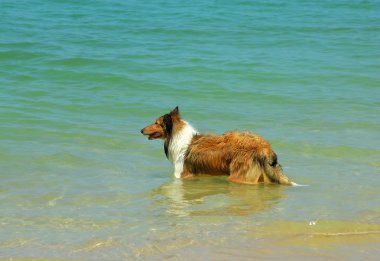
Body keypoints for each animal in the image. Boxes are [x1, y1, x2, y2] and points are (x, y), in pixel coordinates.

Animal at [141, 105, 296, 185]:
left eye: (156, 122)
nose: (141, 130)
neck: (176, 135)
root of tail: (264, 147)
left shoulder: (182, 175)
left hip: (237, 177)